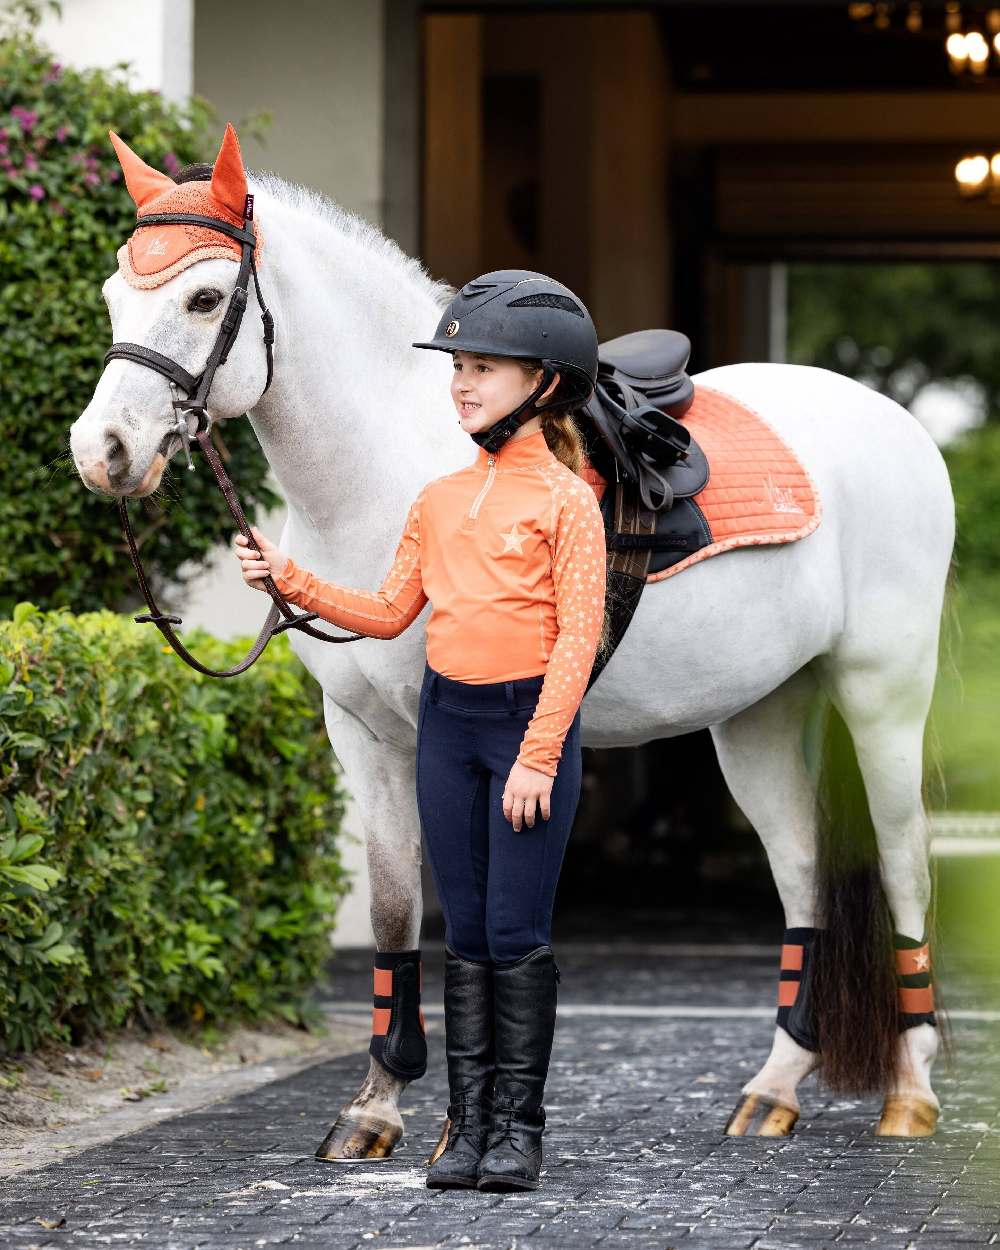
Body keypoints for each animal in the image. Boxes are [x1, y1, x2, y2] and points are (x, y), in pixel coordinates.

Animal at [68, 161, 955, 1155]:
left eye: (205, 296)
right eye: (112, 296)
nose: (102, 453)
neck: (401, 470)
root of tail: (899, 427)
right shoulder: (361, 735)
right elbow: (394, 907)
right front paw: (373, 1107)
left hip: (883, 695)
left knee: (904, 865)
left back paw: (909, 1091)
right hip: (758, 714)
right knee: (801, 873)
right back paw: (774, 1088)